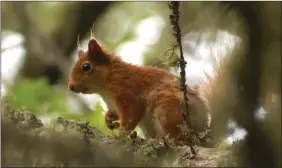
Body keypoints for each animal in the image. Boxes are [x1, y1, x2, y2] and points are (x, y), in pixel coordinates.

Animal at [68, 37, 209, 142]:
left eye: (86, 66)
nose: (71, 86)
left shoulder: (127, 92)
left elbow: (131, 116)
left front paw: (120, 135)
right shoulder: (114, 105)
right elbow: (113, 113)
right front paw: (109, 120)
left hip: (169, 111)